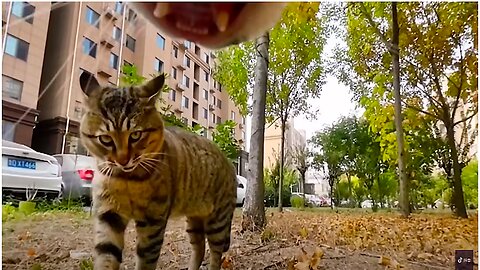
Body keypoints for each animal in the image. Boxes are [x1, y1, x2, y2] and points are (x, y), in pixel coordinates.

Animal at [78, 72, 237, 270]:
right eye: (106, 139)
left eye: (135, 135)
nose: (123, 160)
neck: (127, 179)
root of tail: (229, 161)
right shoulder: (109, 215)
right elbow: (106, 257)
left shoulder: (153, 222)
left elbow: (146, 260)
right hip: (194, 220)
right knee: (199, 247)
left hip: (218, 221)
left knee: (216, 254)